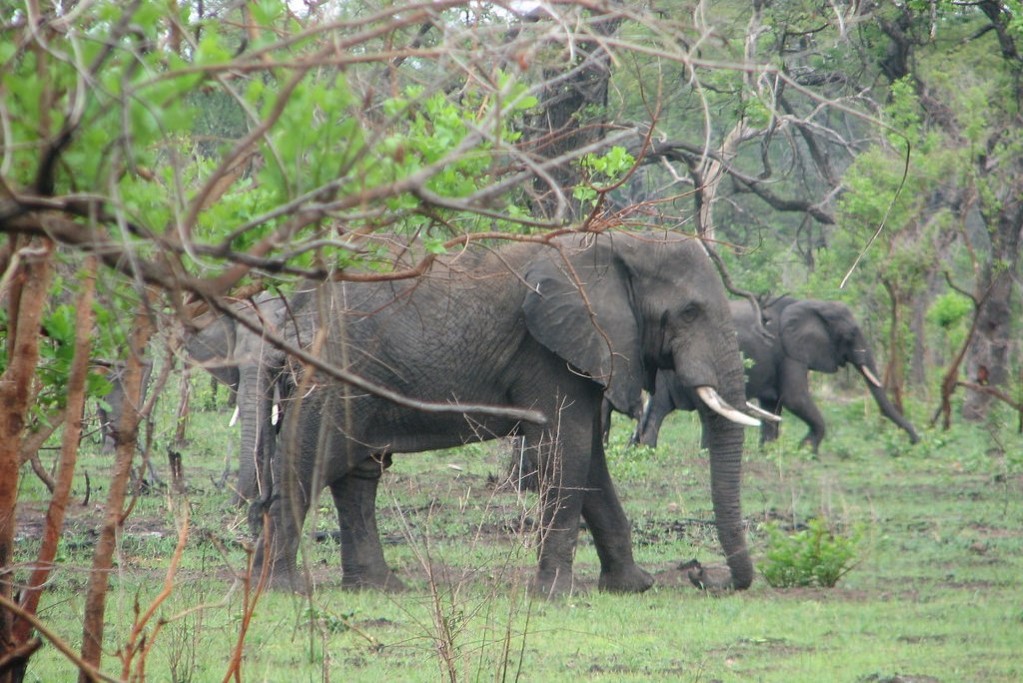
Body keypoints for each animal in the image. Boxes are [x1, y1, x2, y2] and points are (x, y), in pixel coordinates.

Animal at [254, 232, 761, 593]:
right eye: (690, 312)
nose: (700, 574)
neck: (614, 245)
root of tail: (289, 317)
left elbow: (588, 462)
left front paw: (632, 586)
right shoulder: (550, 352)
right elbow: (566, 451)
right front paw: (557, 595)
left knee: (357, 476)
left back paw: (380, 588)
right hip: (328, 380)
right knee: (307, 465)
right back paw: (281, 589)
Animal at [638, 294, 920, 449]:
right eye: (850, 334)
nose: (915, 439)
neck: (814, 304)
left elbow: (773, 404)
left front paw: (770, 451)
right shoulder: (788, 352)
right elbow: (795, 398)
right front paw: (806, 449)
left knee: (658, 408)